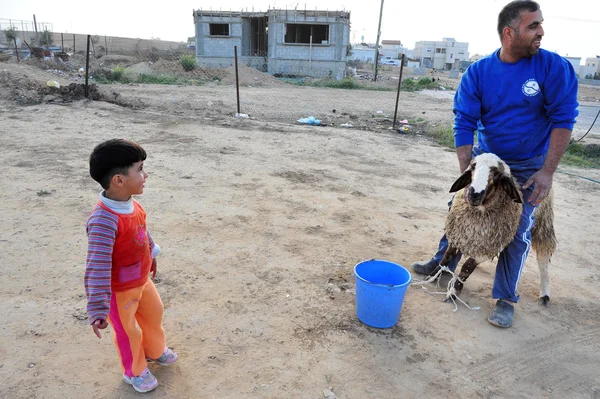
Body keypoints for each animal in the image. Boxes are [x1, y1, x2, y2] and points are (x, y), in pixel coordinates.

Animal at [434, 153, 556, 306]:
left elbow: (466, 268)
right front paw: (434, 275)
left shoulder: (489, 245)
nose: (474, 194)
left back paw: (544, 294)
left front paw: (454, 292)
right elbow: (447, 256)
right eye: (473, 167)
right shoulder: (458, 235)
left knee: (543, 257)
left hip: (543, 223)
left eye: (497, 174)